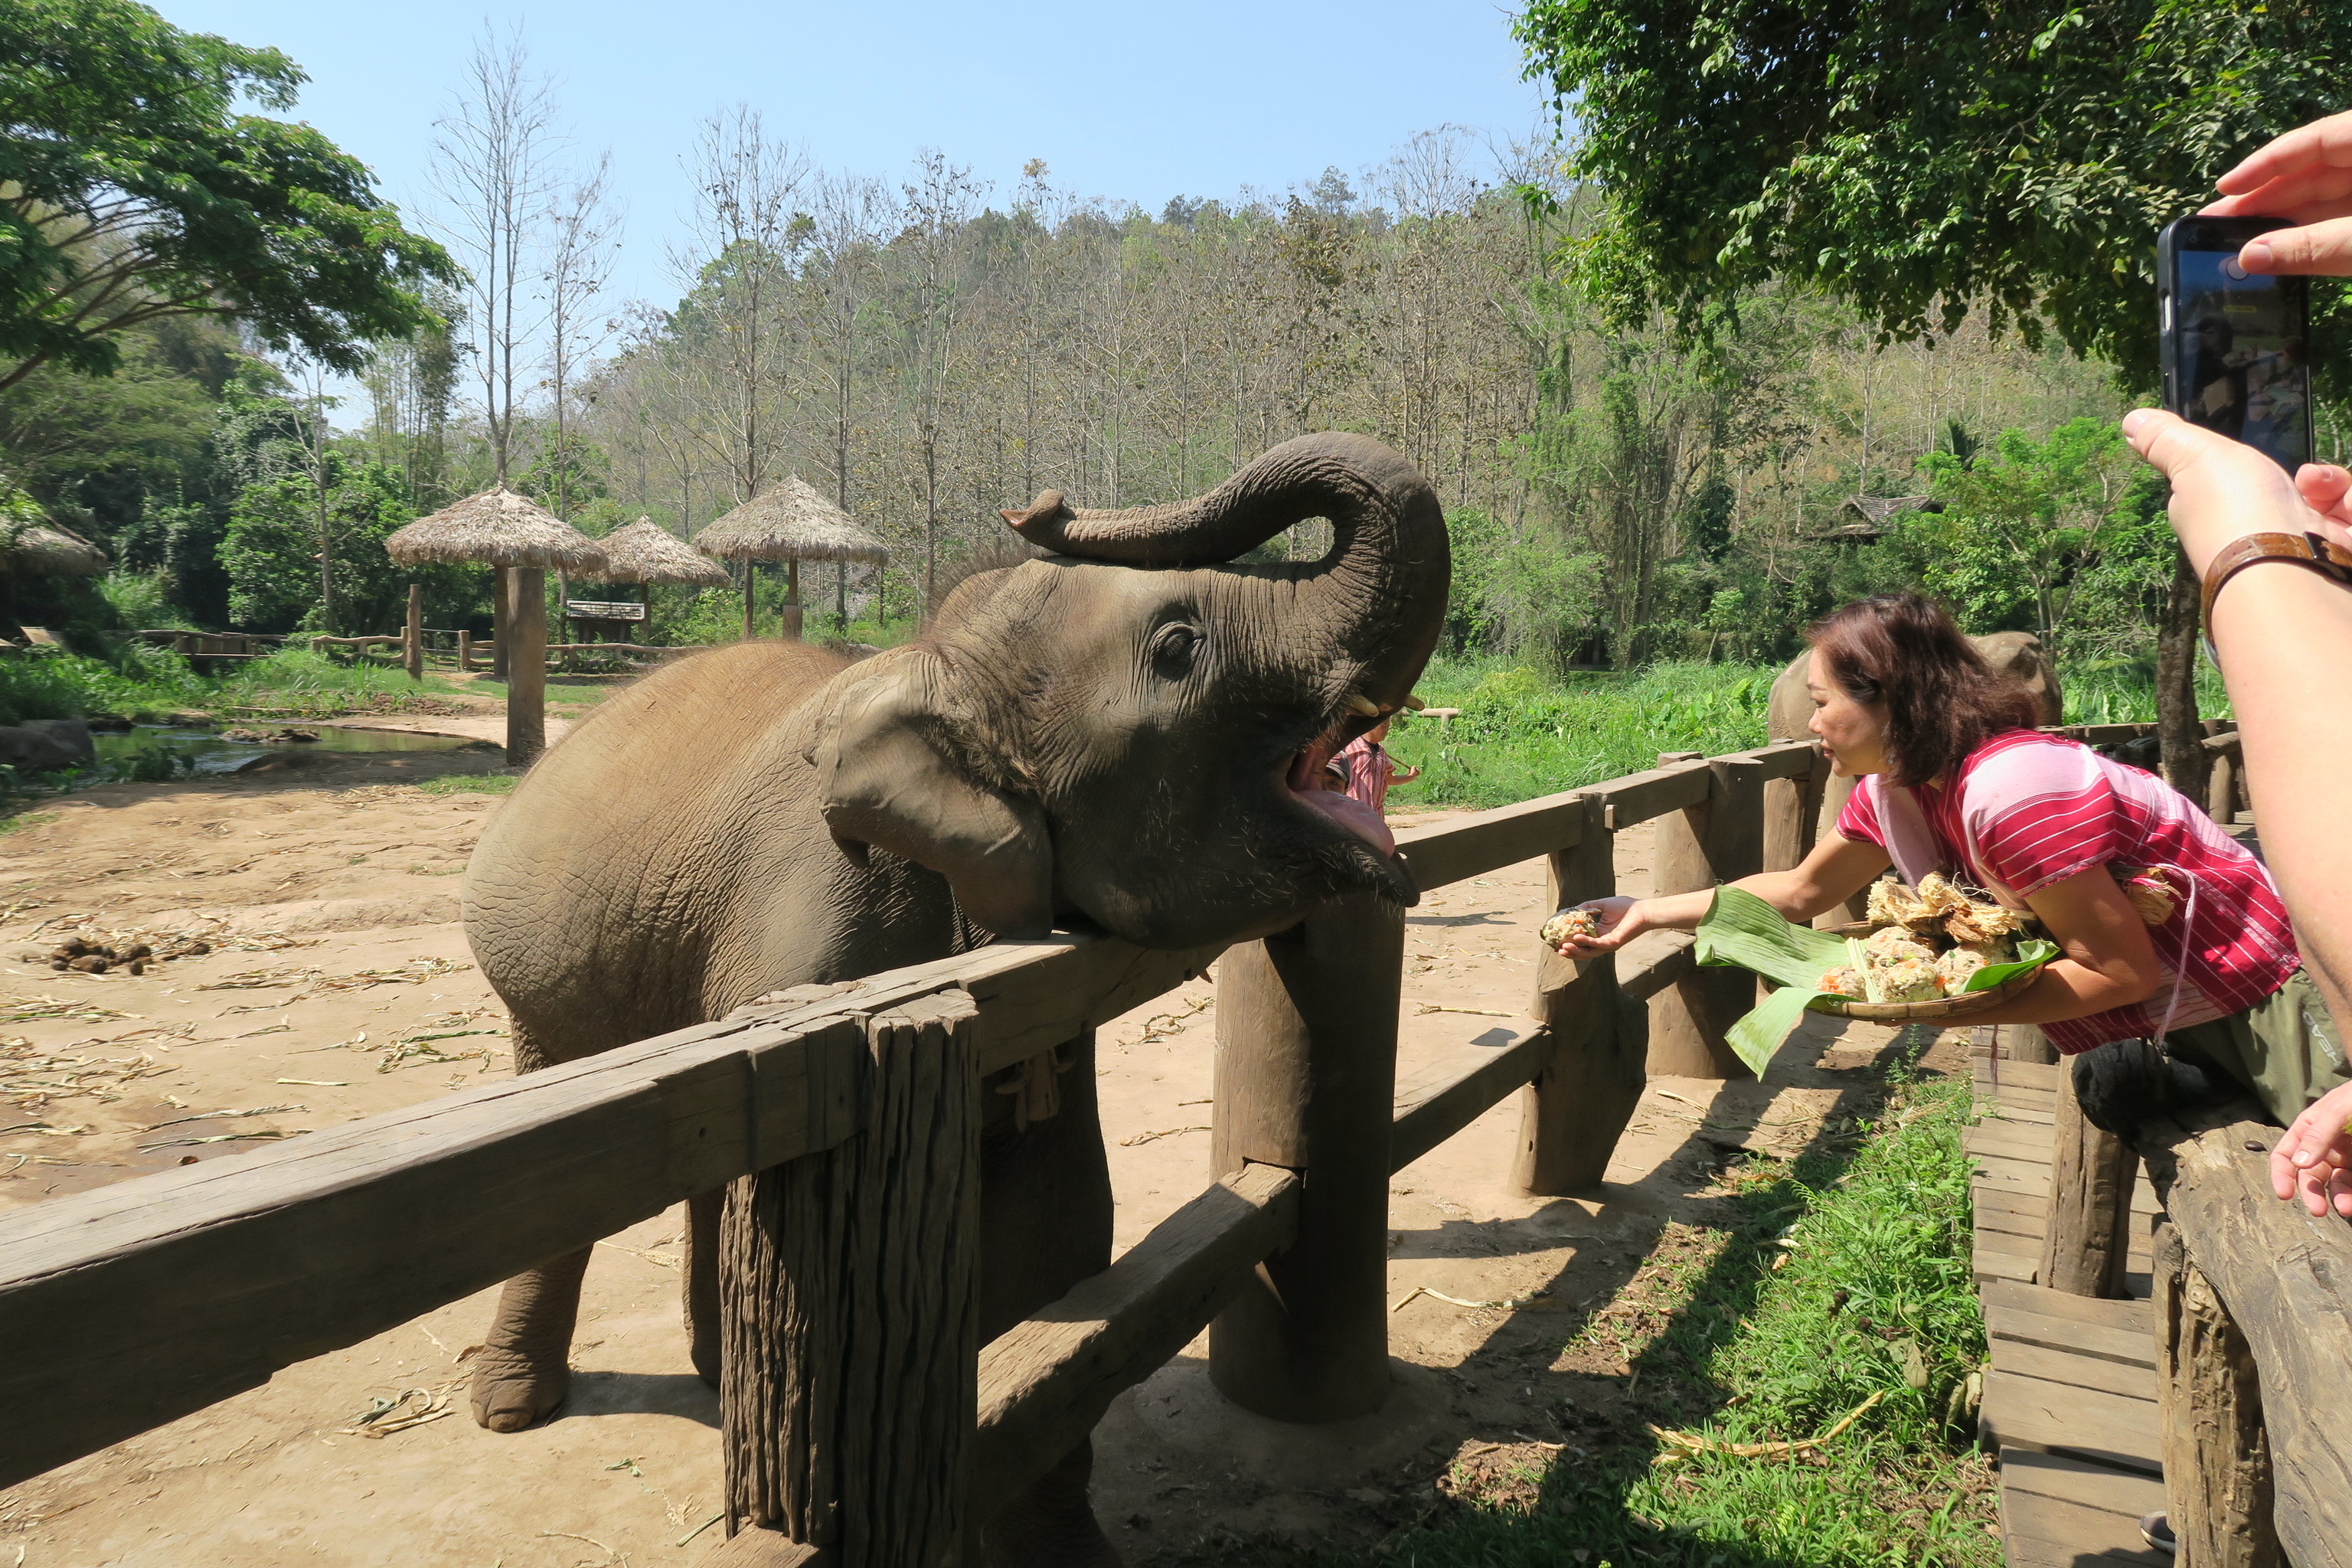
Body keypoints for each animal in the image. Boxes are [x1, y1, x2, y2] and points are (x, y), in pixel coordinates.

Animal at [458, 432, 1449, 1564]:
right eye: (1178, 646)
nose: (1041, 505)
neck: (938, 667)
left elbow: (1057, 1224)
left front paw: (1063, 1542)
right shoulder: (816, 928)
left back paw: (712, 1379)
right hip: (541, 990)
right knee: (556, 1175)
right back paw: (515, 1407)